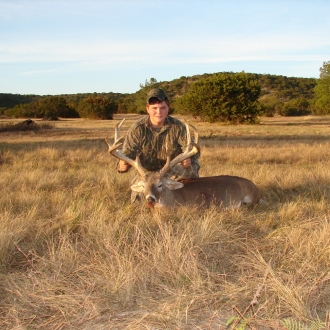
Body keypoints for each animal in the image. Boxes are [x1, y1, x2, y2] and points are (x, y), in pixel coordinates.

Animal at [105, 118, 260, 209]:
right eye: (143, 185)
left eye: (160, 184)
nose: (150, 199)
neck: (173, 200)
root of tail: (255, 187)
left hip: (250, 200)